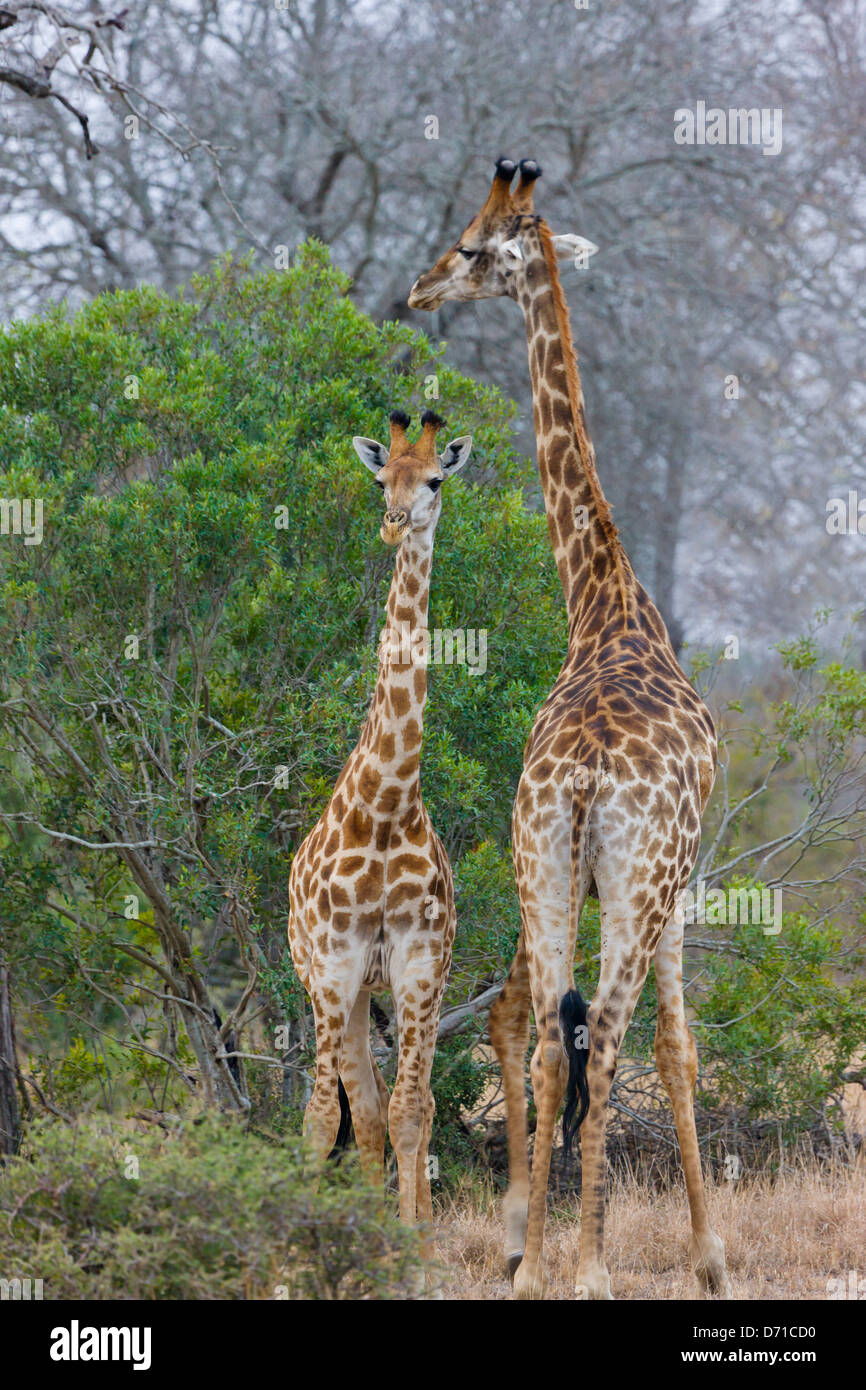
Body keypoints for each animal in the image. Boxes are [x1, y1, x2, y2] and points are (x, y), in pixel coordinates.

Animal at [408, 159, 731, 1301]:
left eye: (471, 245)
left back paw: (534, 1261)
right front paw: (709, 1259)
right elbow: (678, 1051)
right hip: (628, 883)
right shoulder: (678, 883)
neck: (606, 603)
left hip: (539, 862)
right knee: (611, 1035)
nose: (418, 288)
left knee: (549, 1039)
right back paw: (587, 1265)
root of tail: (589, 778)